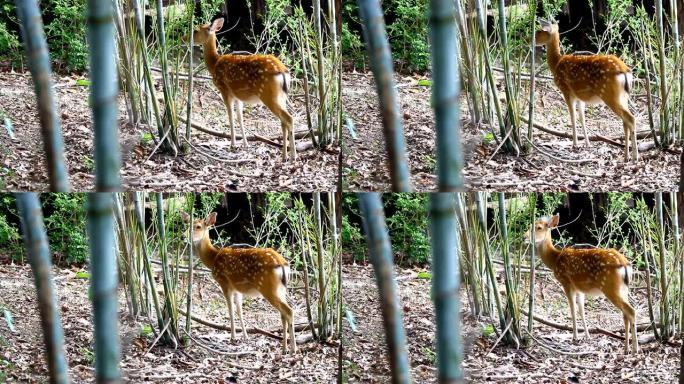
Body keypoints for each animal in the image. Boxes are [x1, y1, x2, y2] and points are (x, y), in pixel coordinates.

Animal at [182, 212, 296, 352]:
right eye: (187, 224)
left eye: (198, 226)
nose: (183, 236)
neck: (213, 258)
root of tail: (282, 264)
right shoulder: (237, 288)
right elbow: (239, 310)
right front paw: (245, 336)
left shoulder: (224, 282)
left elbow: (230, 309)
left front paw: (233, 337)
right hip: (281, 288)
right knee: (283, 314)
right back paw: (284, 348)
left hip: (267, 287)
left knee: (288, 311)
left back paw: (293, 348)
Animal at [194, 17, 298, 162]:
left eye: (195, 30)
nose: (183, 38)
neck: (214, 64)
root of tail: (283, 72)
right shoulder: (238, 95)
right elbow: (240, 117)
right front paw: (245, 143)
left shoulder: (224, 89)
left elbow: (230, 117)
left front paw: (233, 144)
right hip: (282, 96)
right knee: (284, 121)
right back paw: (284, 156)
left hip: (268, 95)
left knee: (288, 118)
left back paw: (292, 156)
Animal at [528, 214, 640, 352]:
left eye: (538, 227)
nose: (524, 237)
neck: (555, 260)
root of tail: (624, 264)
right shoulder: (579, 288)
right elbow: (582, 310)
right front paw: (587, 336)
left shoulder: (566, 282)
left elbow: (572, 310)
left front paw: (575, 337)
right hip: (624, 288)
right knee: (625, 313)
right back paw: (626, 348)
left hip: (610, 287)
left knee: (630, 311)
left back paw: (635, 348)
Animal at [536, 19, 636, 160]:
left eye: (539, 31)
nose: (529, 39)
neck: (556, 63)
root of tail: (625, 71)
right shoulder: (579, 96)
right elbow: (582, 117)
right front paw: (587, 143)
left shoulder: (566, 90)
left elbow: (572, 116)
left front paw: (575, 144)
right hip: (624, 96)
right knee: (625, 121)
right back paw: (627, 155)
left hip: (609, 94)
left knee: (630, 118)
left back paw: (634, 156)